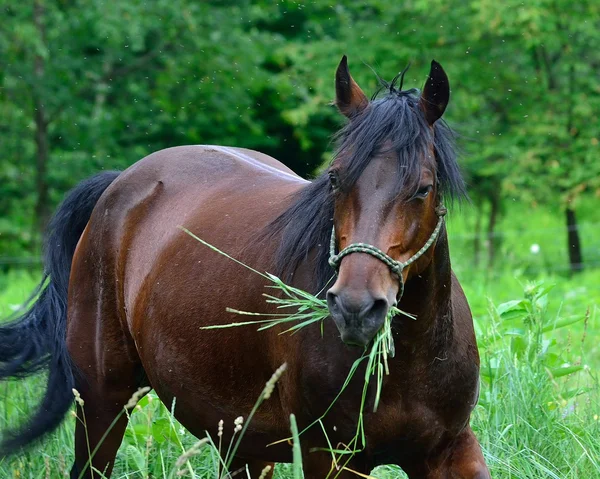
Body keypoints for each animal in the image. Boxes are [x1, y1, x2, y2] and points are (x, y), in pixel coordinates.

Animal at [0, 58, 492, 478]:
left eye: (423, 188)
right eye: (335, 178)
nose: (355, 308)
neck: (408, 362)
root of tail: (118, 185)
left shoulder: (449, 449)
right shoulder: (332, 458)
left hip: (241, 442)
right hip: (103, 404)